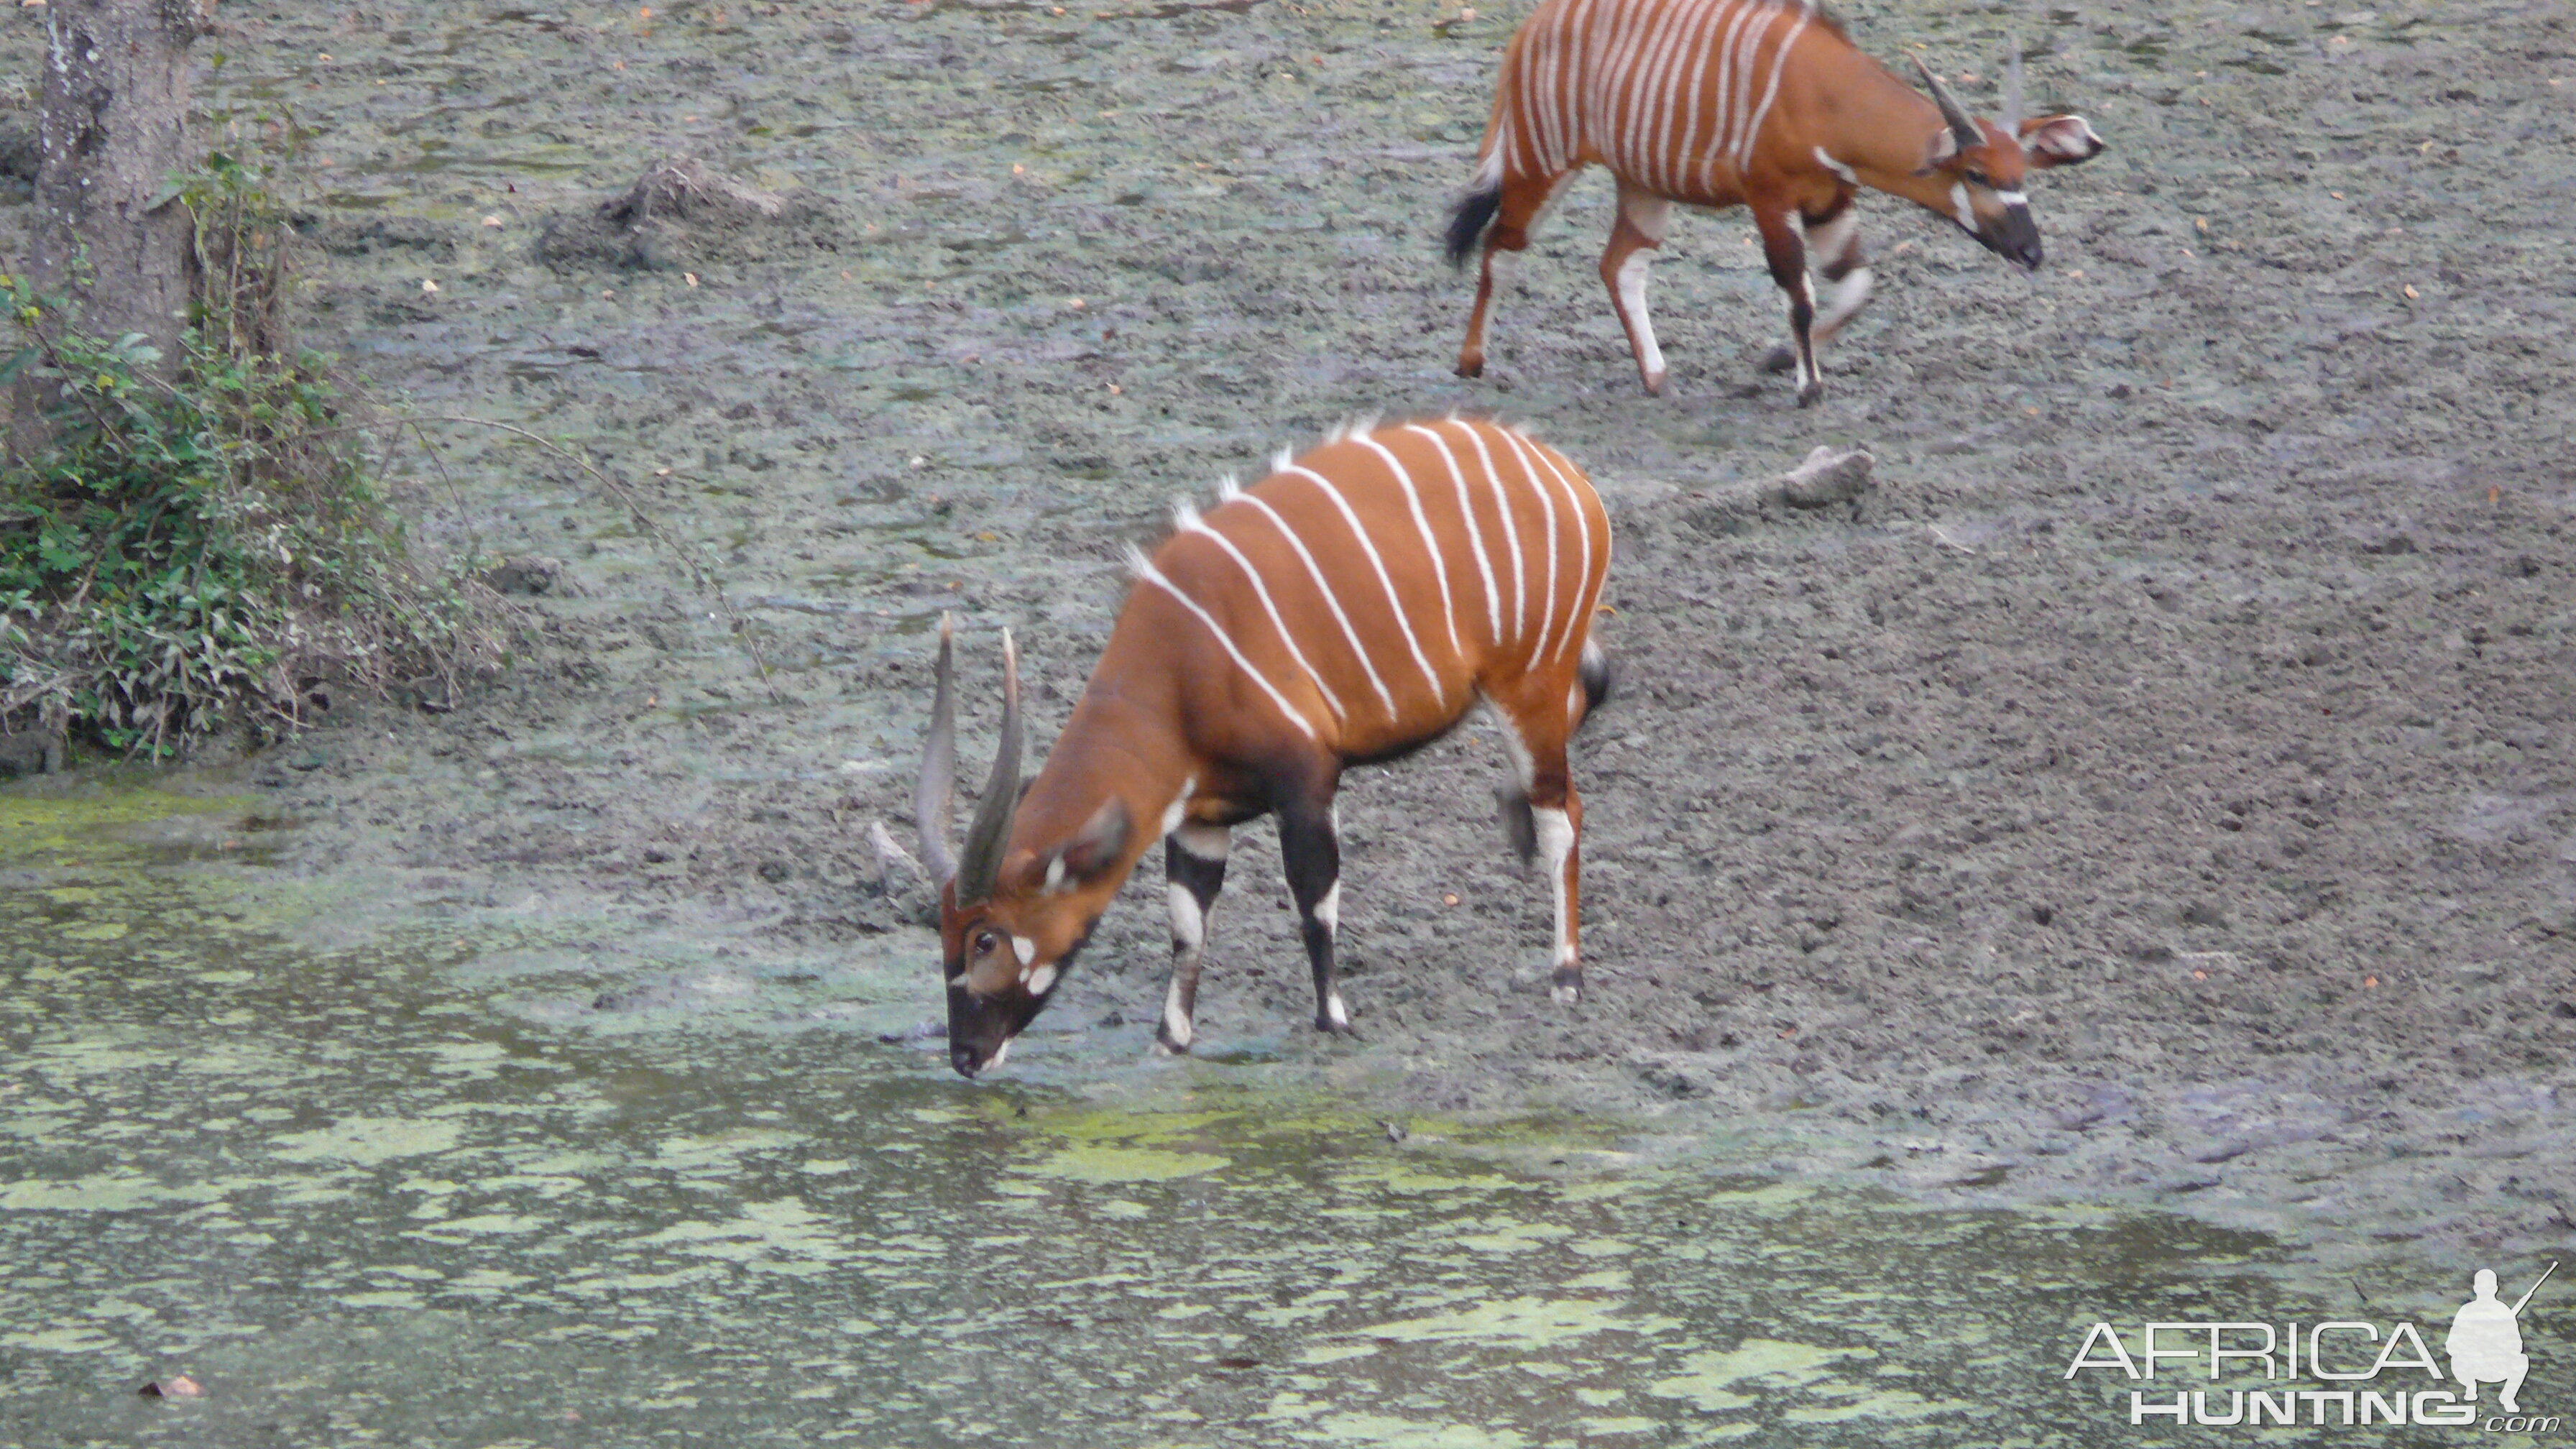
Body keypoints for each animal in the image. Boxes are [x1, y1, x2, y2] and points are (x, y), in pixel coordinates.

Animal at [916, 418, 1607, 1072]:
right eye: (940, 928)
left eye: (985, 938)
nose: (965, 1057)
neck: (1178, 666)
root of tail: (1568, 478)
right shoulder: (1199, 822)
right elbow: (1188, 927)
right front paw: (1170, 1041)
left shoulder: (1307, 784)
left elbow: (1314, 904)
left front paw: (1333, 1021)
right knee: (1592, 696)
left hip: (1527, 684)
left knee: (1564, 811)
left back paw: (1566, 977)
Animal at [1443, 0, 2102, 402]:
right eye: (1977, 173)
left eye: (2023, 171)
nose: (2031, 252)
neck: (1824, 94)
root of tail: (1530, 30)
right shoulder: (1771, 200)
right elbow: (1800, 294)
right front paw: (1808, 388)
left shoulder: (1831, 202)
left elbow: (1856, 289)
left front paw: (1780, 360)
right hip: (1542, 163)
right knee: (1502, 244)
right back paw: (1471, 363)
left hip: (1642, 186)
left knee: (1619, 265)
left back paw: (1657, 377)